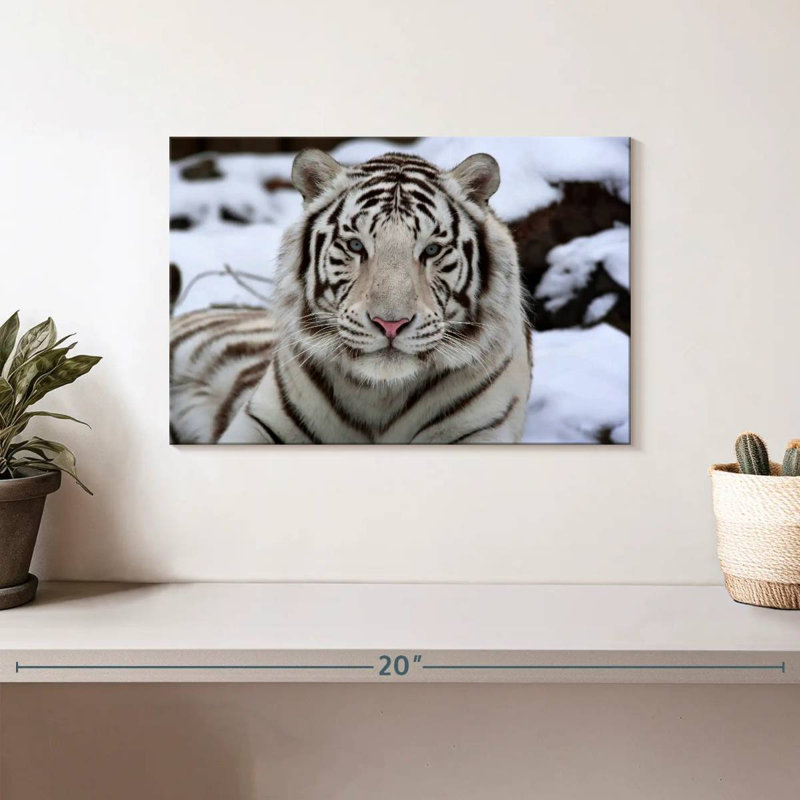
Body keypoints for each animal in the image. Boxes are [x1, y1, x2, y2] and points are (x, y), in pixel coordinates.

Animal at [170, 149, 533, 444]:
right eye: (356, 245)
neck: (381, 396)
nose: (390, 324)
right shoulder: (260, 424)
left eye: (431, 250)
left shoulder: (480, 431)